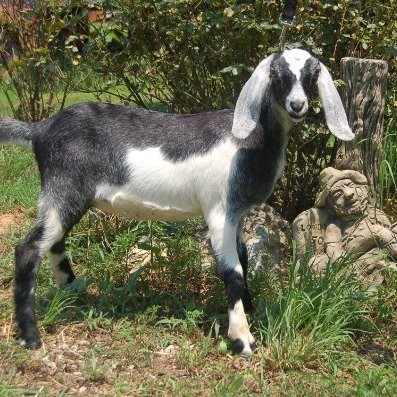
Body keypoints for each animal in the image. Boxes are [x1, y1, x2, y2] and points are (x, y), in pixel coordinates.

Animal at [0, 48, 352, 354]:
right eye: (277, 75)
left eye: (311, 75)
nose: (297, 105)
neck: (252, 140)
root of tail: (40, 129)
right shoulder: (219, 210)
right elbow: (233, 270)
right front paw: (242, 339)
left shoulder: (238, 213)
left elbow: (244, 257)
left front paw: (251, 309)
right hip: (64, 187)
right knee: (29, 249)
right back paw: (31, 337)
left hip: (67, 196)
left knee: (55, 241)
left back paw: (74, 293)